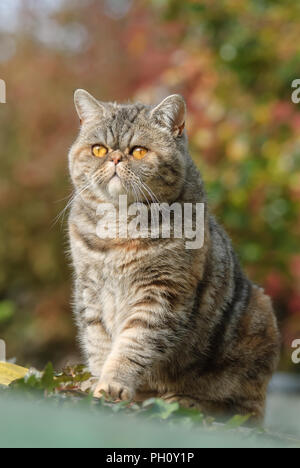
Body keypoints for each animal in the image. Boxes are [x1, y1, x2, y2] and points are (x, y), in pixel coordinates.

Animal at [67, 88, 278, 420]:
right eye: (99, 149)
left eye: (139, 151)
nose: (115, 157)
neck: (119, 227)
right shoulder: (90, 290)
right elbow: (98, 341)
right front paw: (98, 382)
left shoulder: (161, 292)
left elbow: (132, 344)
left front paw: (113, 384)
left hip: (258, 322)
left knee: (243, 410)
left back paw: (185, 401)